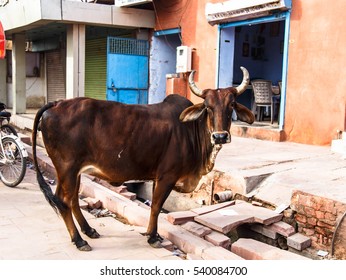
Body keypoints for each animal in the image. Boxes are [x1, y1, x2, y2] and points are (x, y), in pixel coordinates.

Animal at [32, 66, 254, 250]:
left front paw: (150, 233)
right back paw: (79, 240)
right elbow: (156, 206)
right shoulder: (167, 176)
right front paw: (153, 237)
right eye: (208, 107)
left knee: (72, 200)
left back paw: (89, 231)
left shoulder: (158, 177)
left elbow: (155, 205)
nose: (220, 136)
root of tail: (56, 104)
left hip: (74, 172)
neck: (191, 130)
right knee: (63, 201)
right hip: (67, 169)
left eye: (232, 104)